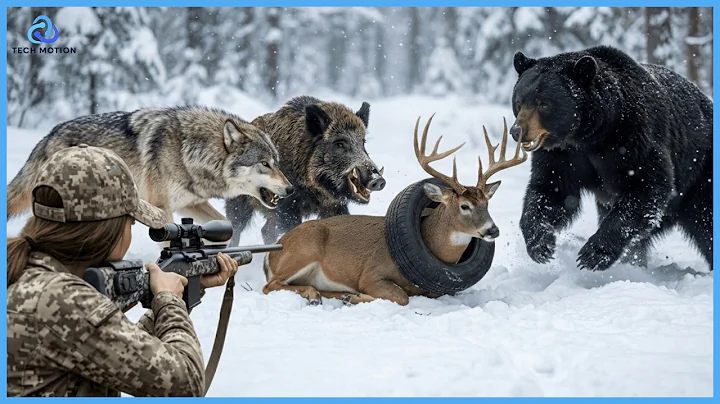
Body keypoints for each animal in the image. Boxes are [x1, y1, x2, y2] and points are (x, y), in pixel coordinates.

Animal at [261, 114, 528, 306]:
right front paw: (357, 295)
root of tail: (270, 255)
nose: (492, 230)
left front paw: (351, 296)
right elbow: (402, 296)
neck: (432, 242)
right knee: (270, 285)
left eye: (487, 204)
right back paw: (319, 295)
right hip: (305, 246)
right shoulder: (372, 273)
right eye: (464, 206)